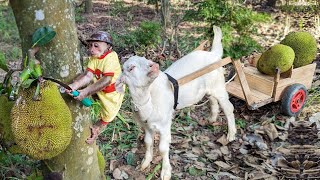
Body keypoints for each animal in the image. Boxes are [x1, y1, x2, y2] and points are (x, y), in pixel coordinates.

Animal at [116, 26, 236, 179]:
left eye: (146, 59)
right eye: (131, 68)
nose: (154, 66)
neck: (149, 102)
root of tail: (213, 54)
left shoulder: (164, 124)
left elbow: (162, 148)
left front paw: (166, 172)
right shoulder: (147, 126)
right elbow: (148, 142)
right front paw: (145, 163)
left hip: (219, 85)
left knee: (228, 107)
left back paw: (231, 134)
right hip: (209, 88)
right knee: (213, 100)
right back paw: (212, 118)